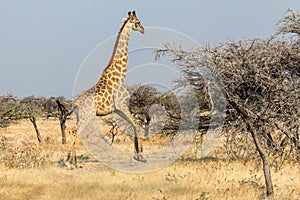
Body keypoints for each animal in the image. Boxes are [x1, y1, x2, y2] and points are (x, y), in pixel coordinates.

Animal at [65, 10, 145, 167]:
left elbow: (133, 126)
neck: (120, 75)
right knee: (74, 132)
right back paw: (70, 163)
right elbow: (137, 125)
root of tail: (76, 103)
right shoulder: (123, 105)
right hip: (86, 116)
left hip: (78, 116)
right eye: (138, 22)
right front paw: (141, 155)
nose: (143, 30)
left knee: (72, 131)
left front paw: (137, 154)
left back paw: (73, 163)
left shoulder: (117, 109)